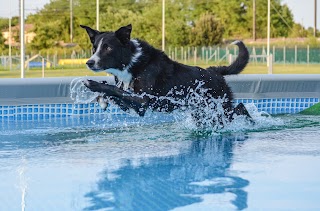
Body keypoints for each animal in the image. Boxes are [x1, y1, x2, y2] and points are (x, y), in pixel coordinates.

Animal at [80, 24, 252, 127]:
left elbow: (114, 89)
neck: (133, 62)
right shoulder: (135, 107)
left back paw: (251, 122)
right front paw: (102, 98)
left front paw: (92, 84)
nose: (89, 62)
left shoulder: (143, 100)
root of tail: (214, 71)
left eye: (108, 48)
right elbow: (116, 92)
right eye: (94, 48)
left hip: (219, 107)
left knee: (240, 108)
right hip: (203, 113)